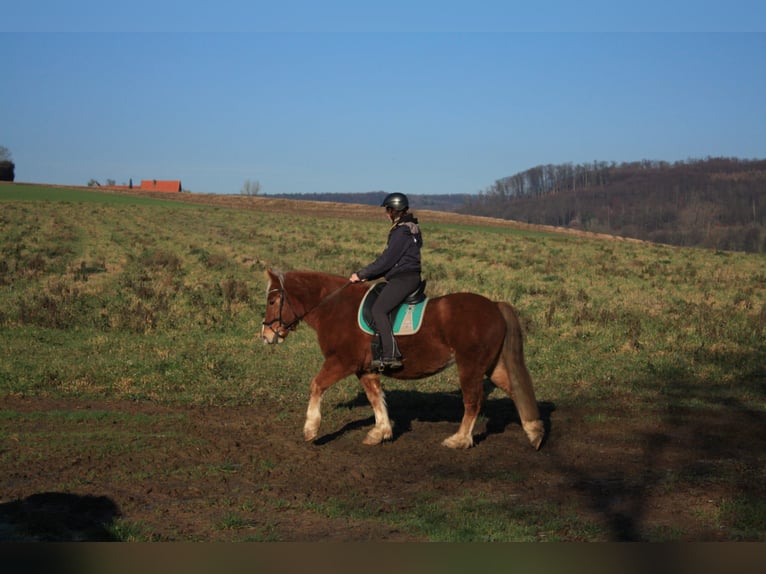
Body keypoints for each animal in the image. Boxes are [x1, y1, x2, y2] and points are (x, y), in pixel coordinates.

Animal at [262, 270, 544, 450]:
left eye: (273, 300)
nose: (266, 335)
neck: (335, 307)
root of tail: (495, 306)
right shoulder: (365, 369)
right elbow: (376, 397)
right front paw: (380, 432)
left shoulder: (342, 361)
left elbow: (317, 385)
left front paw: (311, 429)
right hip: (492, 365)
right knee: (515, 390)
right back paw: (535, 433)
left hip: (470, 366)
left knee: (473, 401)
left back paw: (460, 440)